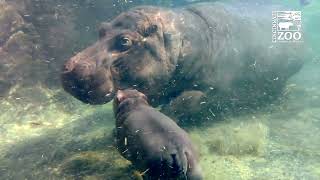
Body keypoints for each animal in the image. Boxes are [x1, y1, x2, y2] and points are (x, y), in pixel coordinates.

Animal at [60, 1, 304, 121]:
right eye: (101, 29)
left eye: (124, 41)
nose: (70, 68)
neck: (178, 39)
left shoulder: (214, 89)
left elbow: (185, 100)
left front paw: (166, 116)